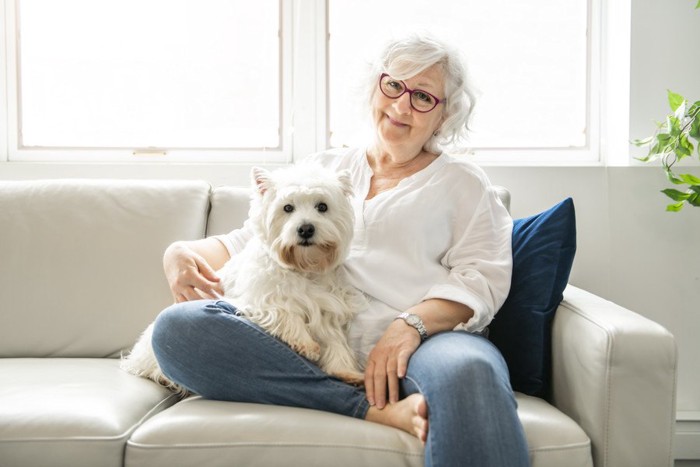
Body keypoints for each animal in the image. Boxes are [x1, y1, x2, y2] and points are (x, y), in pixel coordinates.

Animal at [121, 165, 366, 394]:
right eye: (287, 208)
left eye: (322, 207)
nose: (305, 229)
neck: (303, 268)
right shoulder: (261, 299)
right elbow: (285, 313)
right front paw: (305, 343)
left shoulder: (328, 309)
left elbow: (336, 342)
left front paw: (347, 372)